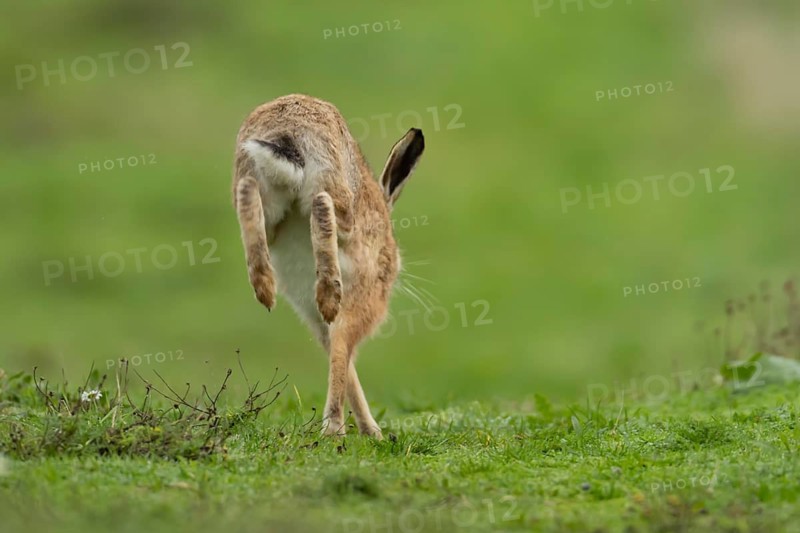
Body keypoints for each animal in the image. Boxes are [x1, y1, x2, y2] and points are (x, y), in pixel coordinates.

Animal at [232, 94, 425, 439]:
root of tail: (287, 132)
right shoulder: (363, 304)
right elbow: (343, 353)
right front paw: (363, 430)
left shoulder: (317, 323)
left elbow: (342, 359)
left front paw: (368, 429)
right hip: (334, 182)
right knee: (325, 207)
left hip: (258, 186)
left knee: (247, 197)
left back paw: (265, 286)